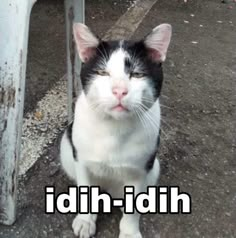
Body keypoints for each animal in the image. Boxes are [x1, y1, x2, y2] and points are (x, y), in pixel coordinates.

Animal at [60, 22, 171, 238]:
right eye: (103, 73)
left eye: (137, 74)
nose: (119, 91)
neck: (114, 128)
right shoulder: (81, 161)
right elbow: (85, 189)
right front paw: (85, 220)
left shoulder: (141, 169)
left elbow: (134, 207)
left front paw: (129, 231)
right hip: (66, 149)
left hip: (154, 168)